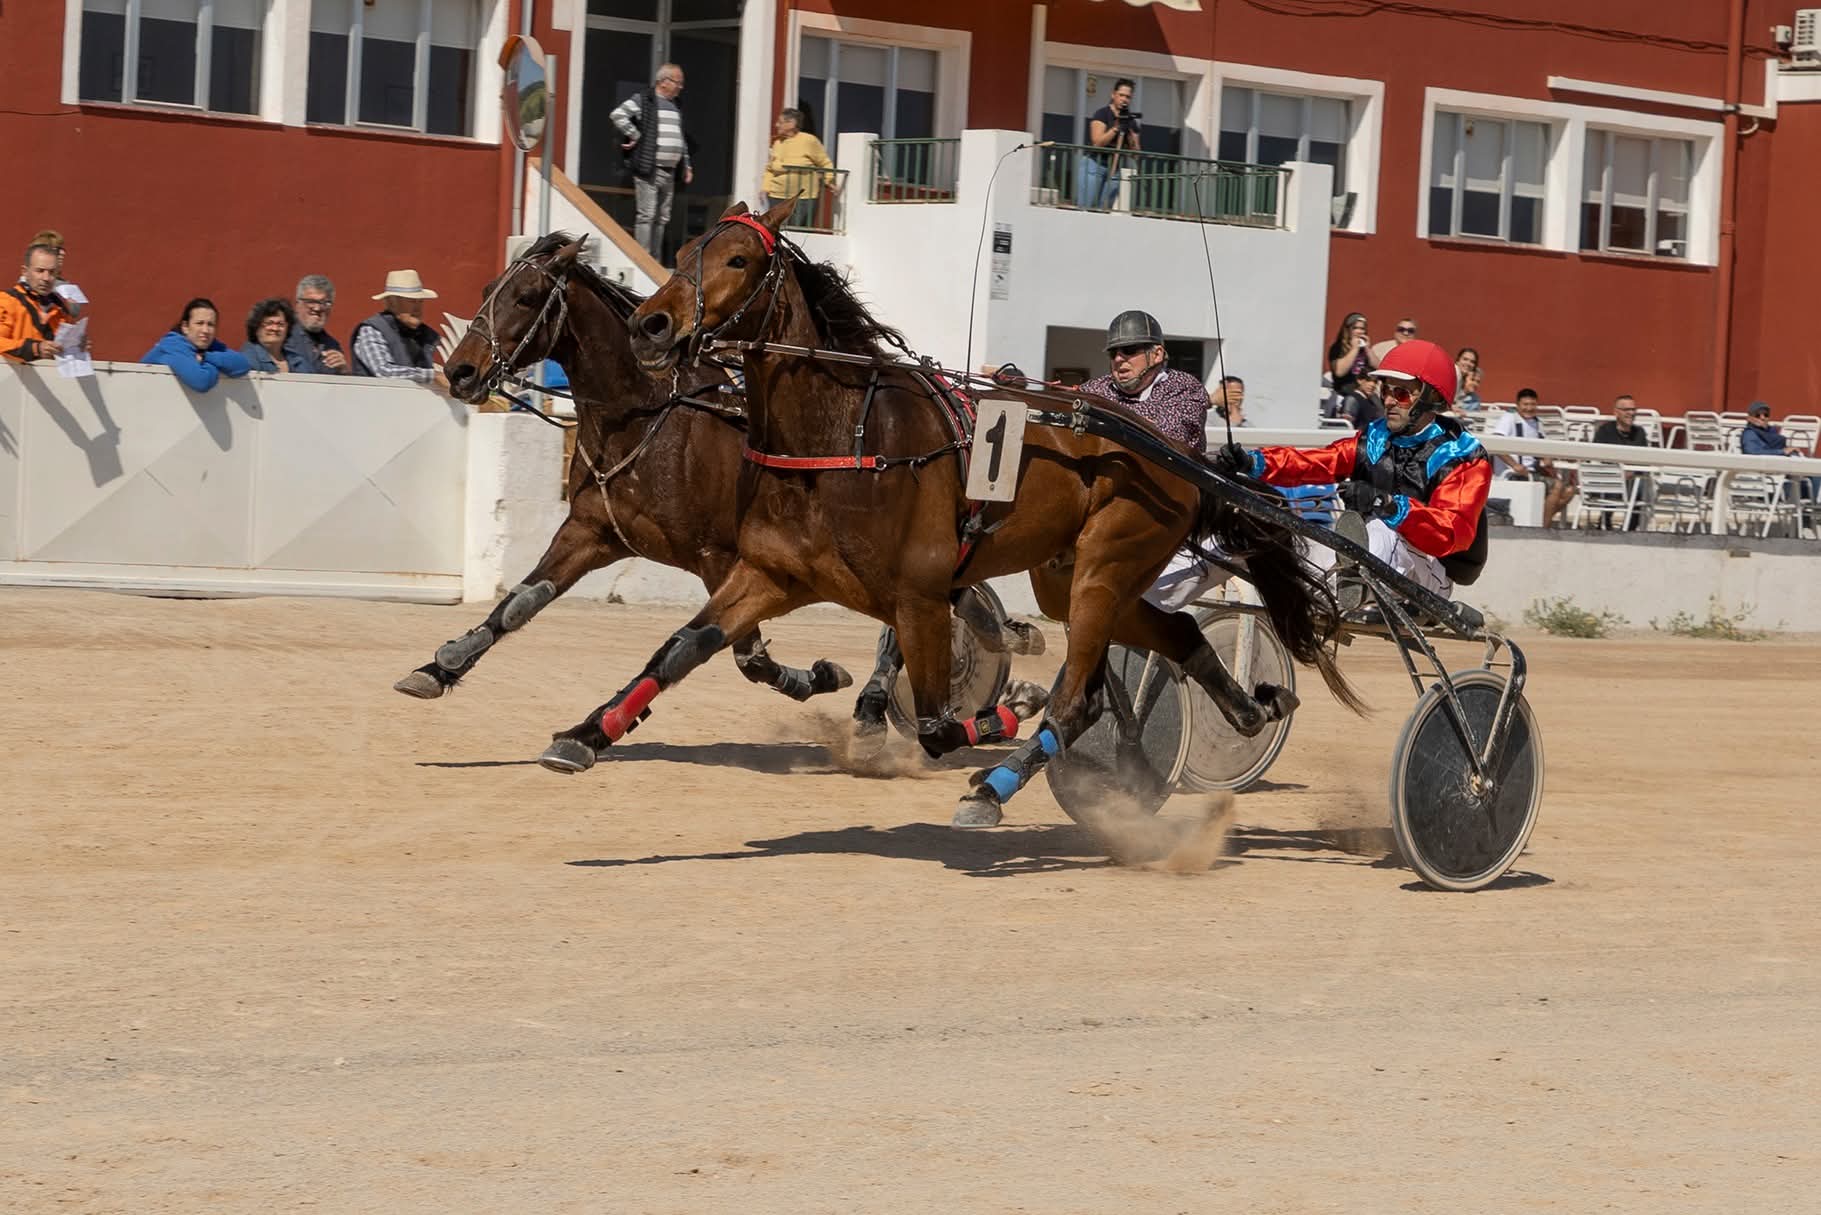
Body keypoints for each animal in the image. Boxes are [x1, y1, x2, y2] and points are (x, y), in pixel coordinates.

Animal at [533, 200, 1358, 827]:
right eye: (680, 251)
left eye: (737, 260)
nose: (649, 325)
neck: (845, 438)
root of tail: (1168, 445)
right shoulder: (768, 574)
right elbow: (678, 649)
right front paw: (586, 732)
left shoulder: (920, 596)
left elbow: (934, 724)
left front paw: (1004, 708)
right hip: (1076, 576)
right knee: (1174, 634)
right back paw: (1248, 711)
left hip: (1107, 563)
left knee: (1075, 700)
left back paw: (998, 784)